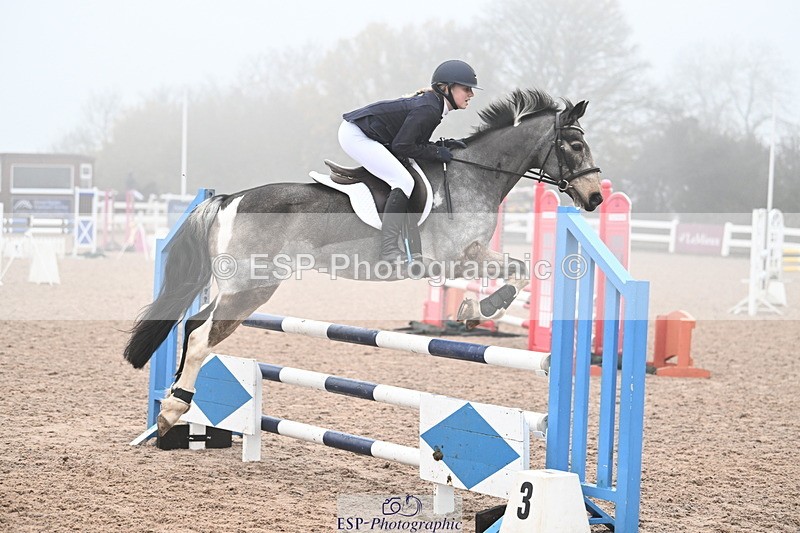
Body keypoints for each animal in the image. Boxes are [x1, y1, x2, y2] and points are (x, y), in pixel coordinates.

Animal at [123, 88, 603, 436]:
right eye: (575, 145)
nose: (596, 198)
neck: (473, 174)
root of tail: (229, 199)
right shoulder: (452, 260)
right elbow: (518, 270)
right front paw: (478, 308)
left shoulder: (471, 255)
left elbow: (521, 269)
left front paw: (474, 311)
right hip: (252, 289)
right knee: (202, 336)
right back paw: (171, 411)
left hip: (238, 288)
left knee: (192, 324)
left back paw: (174, 405)